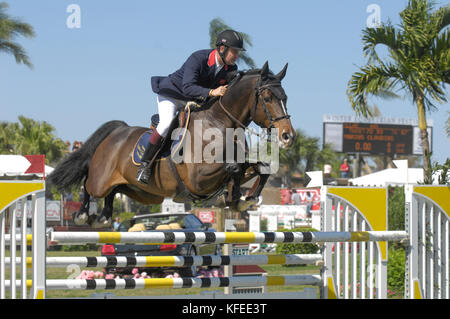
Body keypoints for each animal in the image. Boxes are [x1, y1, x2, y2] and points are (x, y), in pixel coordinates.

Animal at [48, 62, 296, 228]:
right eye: (267, 98)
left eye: (285, 97)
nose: (288, 136)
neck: (219, 122)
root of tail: (117, 131)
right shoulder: (198, 179)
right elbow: (233, 168)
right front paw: (234, 197)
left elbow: (260, 168)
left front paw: (245, 199)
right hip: (101, 179)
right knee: (88, 185)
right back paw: (82, 214)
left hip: (142, 192)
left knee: (115, 191)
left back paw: (104, 216)